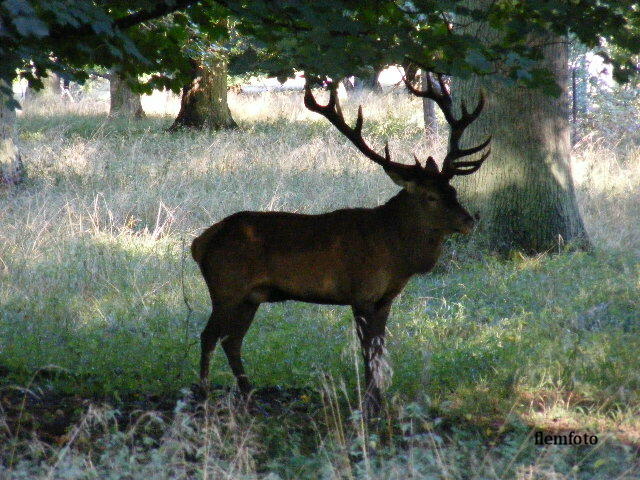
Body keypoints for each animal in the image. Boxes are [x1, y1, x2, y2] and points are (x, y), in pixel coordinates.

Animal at [190, 73, 490, 414]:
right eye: (430, 197)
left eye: (453, 190)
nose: (469, 221)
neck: (395, 254)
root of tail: (199, 243)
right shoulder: (360, 292)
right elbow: (367, 351)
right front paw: (369, 403)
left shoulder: (386, 298)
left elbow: (379, 348)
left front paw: (379, 400)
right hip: (226, 286)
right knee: (208, 335)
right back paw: (204, 395)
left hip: (250, 297)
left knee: (232, 340)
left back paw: (248, 394)